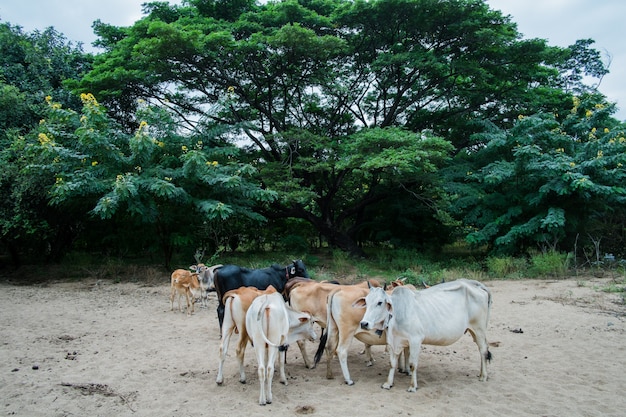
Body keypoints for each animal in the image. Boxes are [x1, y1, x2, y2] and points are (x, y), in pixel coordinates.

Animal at [354, 278, 490, 392]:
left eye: (380, 302)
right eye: (366, 302)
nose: (364, 323)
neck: (397, 313)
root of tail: (475, 285)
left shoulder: (415, 340)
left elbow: (413, 364)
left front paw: (412, 386)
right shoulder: (394, 341)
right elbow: (392, 363)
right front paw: (388, 383)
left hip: (479, 329)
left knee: (483, 350)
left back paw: (483, 376)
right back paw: (481, 373)